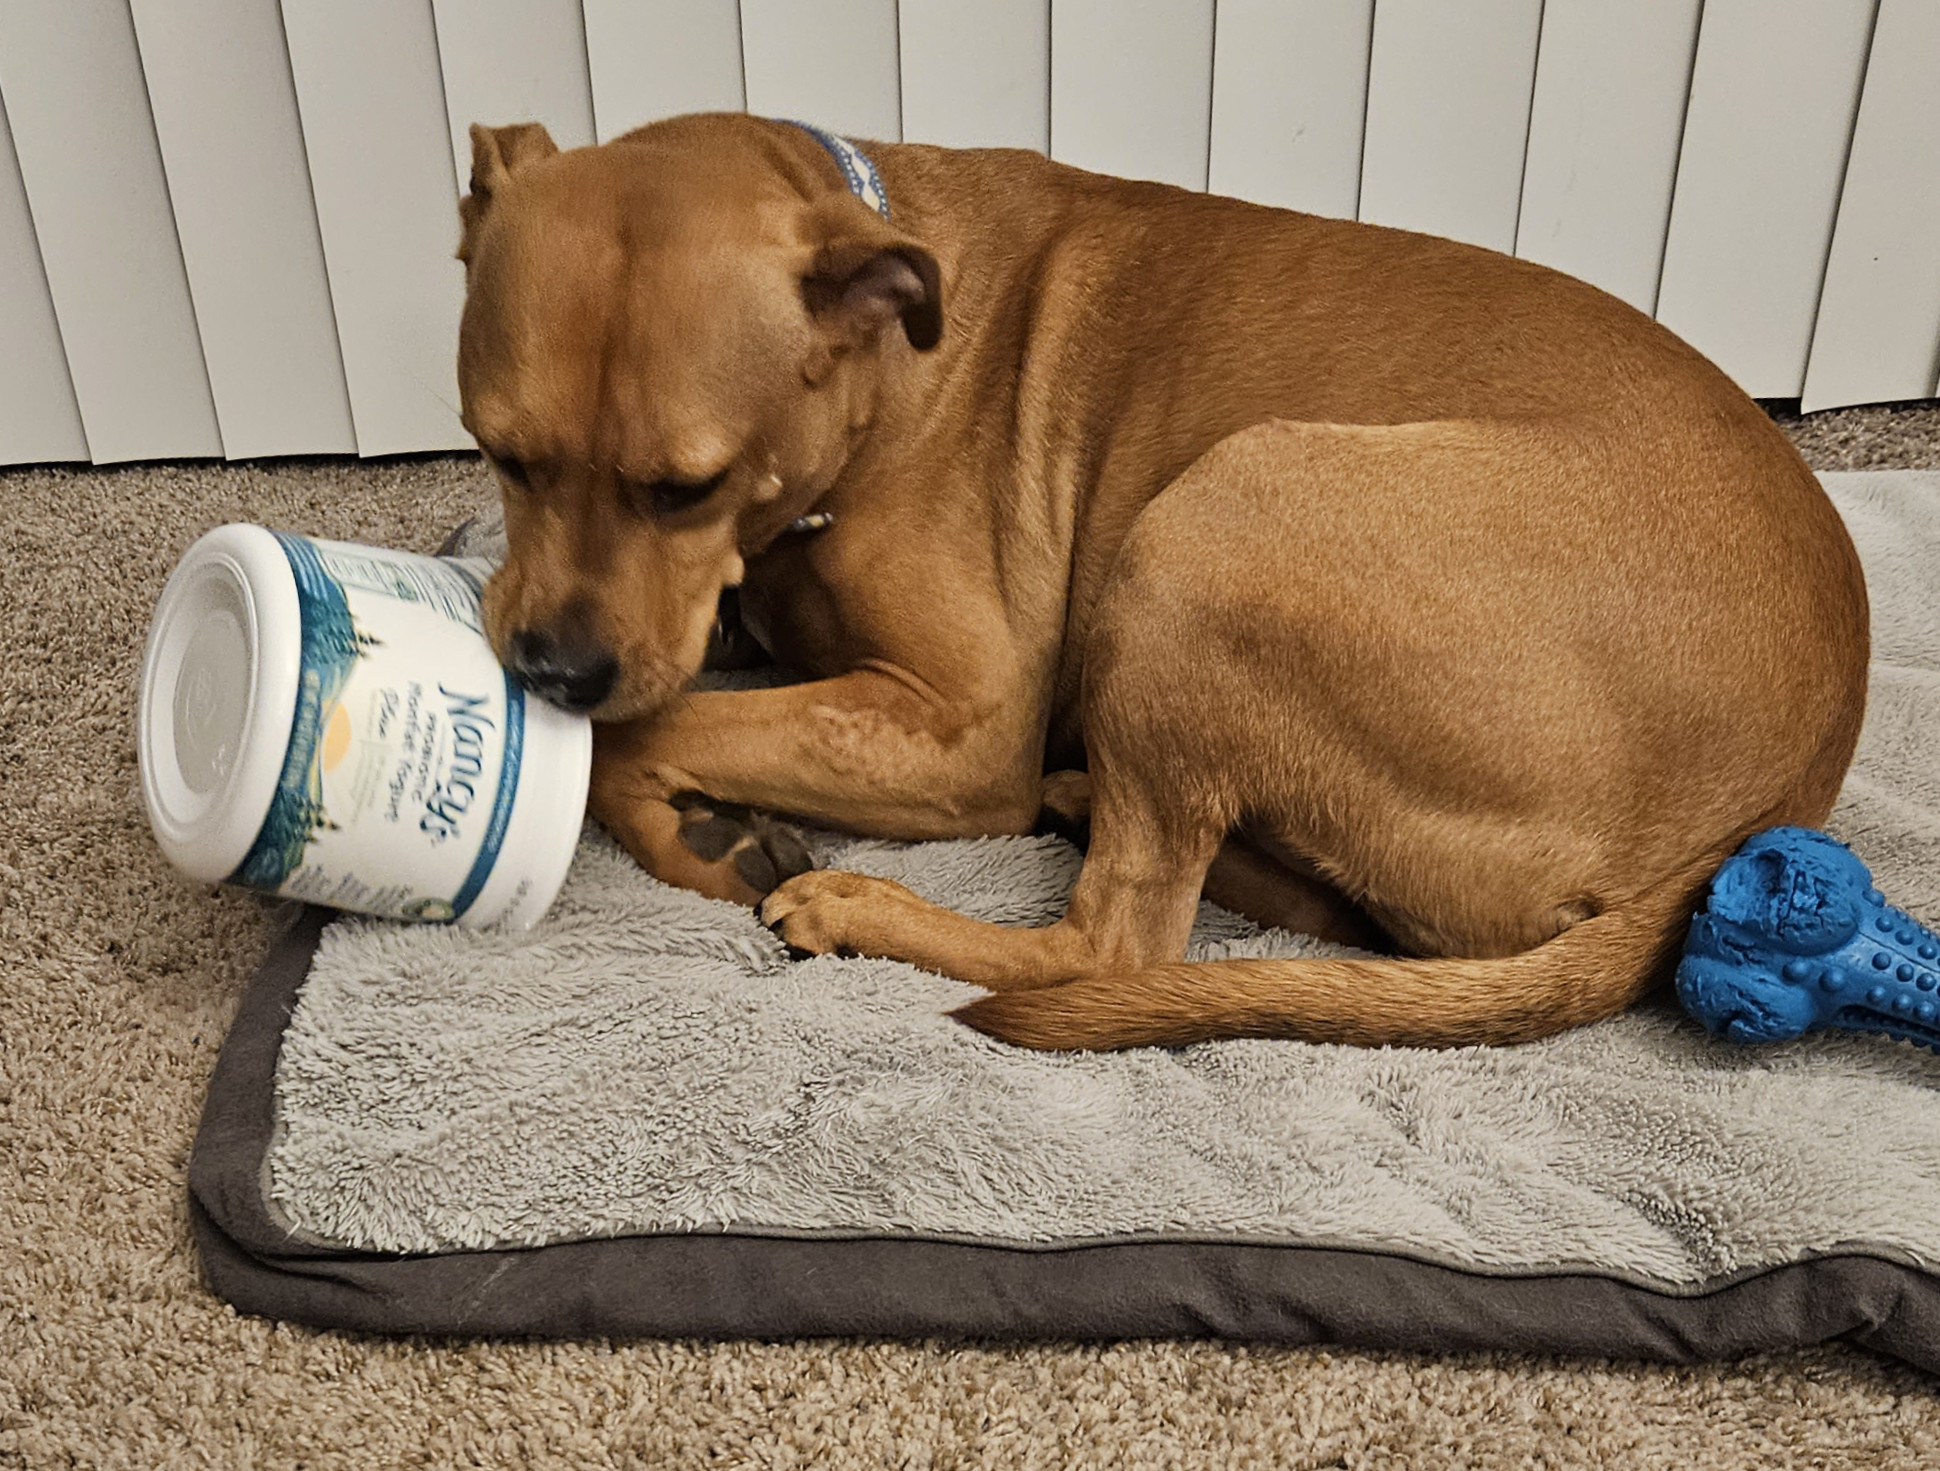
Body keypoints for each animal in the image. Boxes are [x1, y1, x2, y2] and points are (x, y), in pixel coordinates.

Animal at [450, 120, 1862, 1055]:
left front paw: (696, 833)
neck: (875, 372)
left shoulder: (957, 728)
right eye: (496, 451)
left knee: (1110, 945)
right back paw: (1098, 809)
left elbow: (647, 726)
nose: (549, 668)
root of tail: (1774, 796)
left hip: (1208, 523)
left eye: (684, 487)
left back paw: (863, 903)